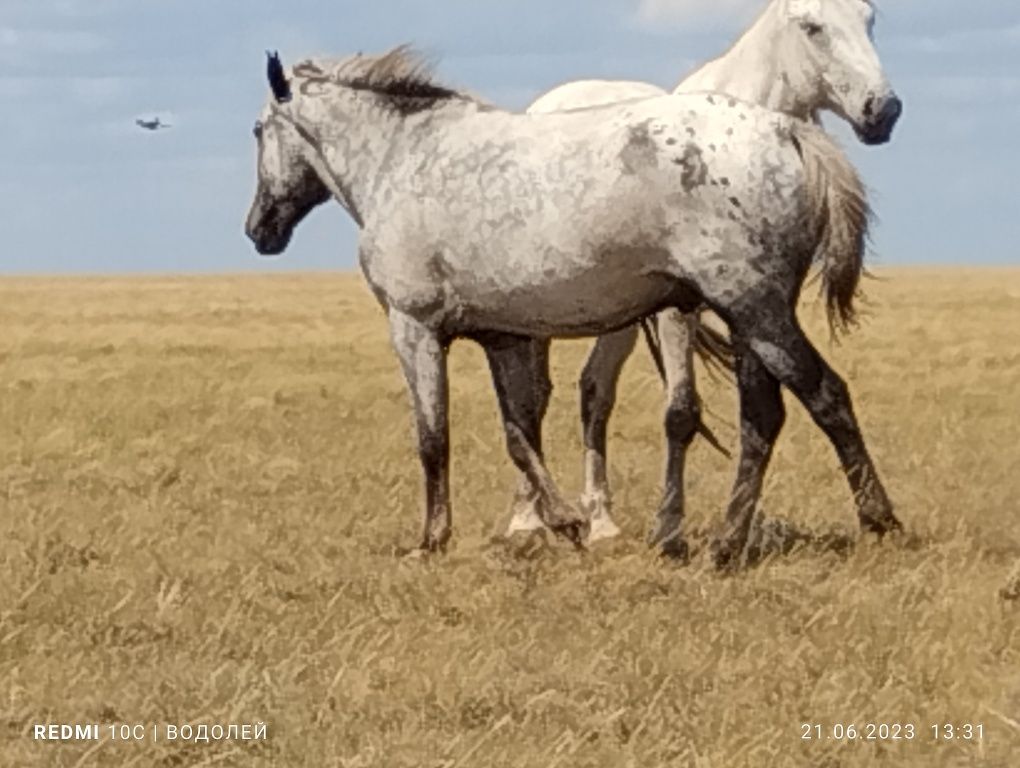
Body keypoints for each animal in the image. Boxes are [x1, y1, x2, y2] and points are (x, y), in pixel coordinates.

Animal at [510, 0, 901, 550]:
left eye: (870, 19)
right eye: (812, 26)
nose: (882, 110)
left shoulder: (752, 309)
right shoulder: (681, 313)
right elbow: (681, 414)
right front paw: (669, 529)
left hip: (618, 321)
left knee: (594, 393)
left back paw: (601, 520)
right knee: (536, 397)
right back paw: (527, 518)